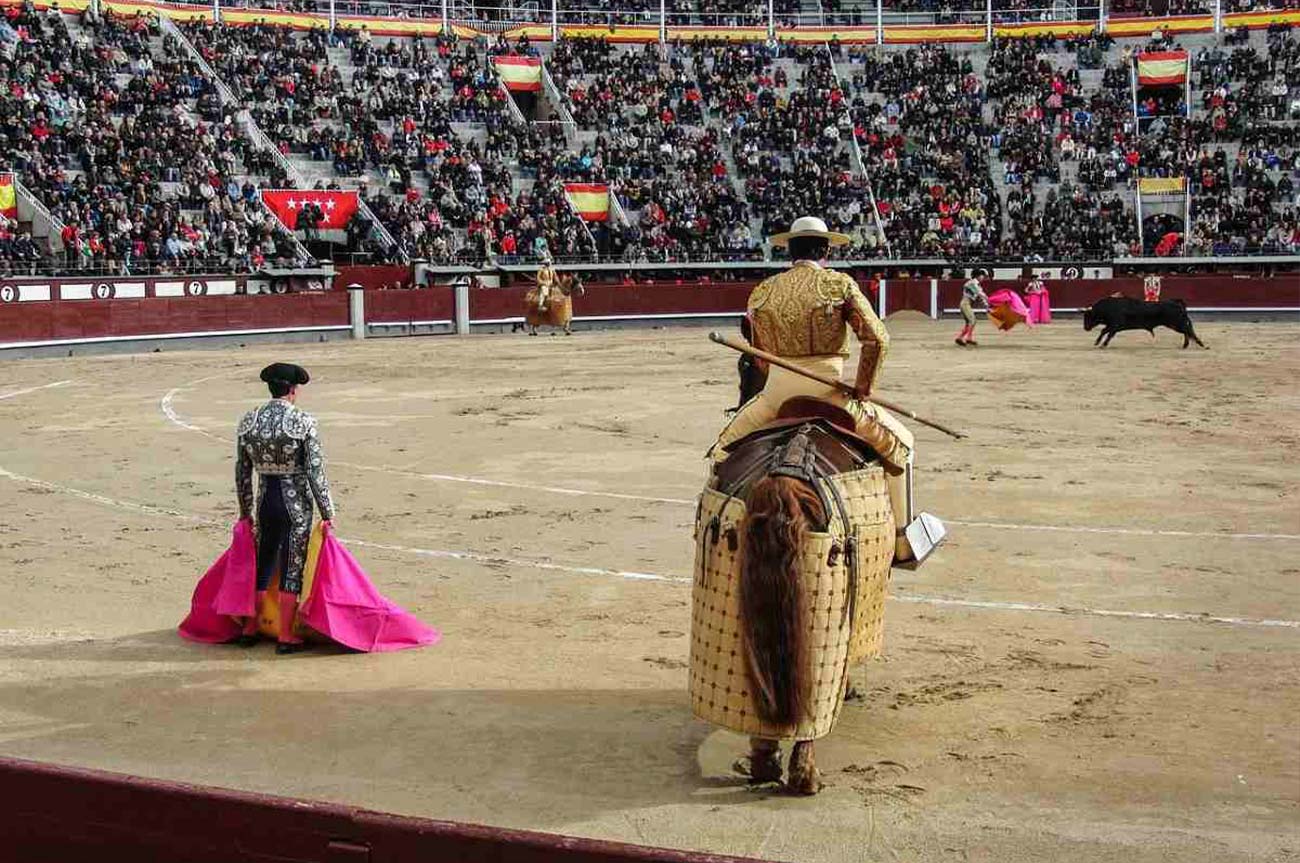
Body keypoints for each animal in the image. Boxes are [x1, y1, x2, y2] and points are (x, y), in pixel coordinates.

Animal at [1076, 298, 1206, 348]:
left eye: (1088, 317)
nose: (1085, 328)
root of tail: (1177, 303)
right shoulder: (1114, 327)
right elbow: (1105, 332)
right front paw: (1098, 342)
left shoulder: (1115, 325)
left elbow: (1106, 332)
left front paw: (1102, 344)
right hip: (1176, 324)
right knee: (1187, 331)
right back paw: (1186, 345)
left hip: (1175, 324)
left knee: (1187, 331)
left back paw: (1200, 344)